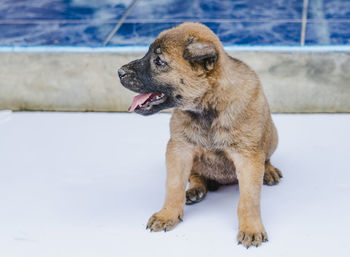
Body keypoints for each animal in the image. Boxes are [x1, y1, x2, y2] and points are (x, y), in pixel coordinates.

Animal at [117, 23, 282, 247]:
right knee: (195, 174)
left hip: (272, 134)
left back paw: (269, 170)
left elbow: (249, 199)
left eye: (159, 61)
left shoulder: (247, 156)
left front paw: (251, 227)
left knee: (266, 157)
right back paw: (196, 189)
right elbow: (174, 186)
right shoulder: (179, 149)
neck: (208, 107)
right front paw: (167, 214)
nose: (119, 72)